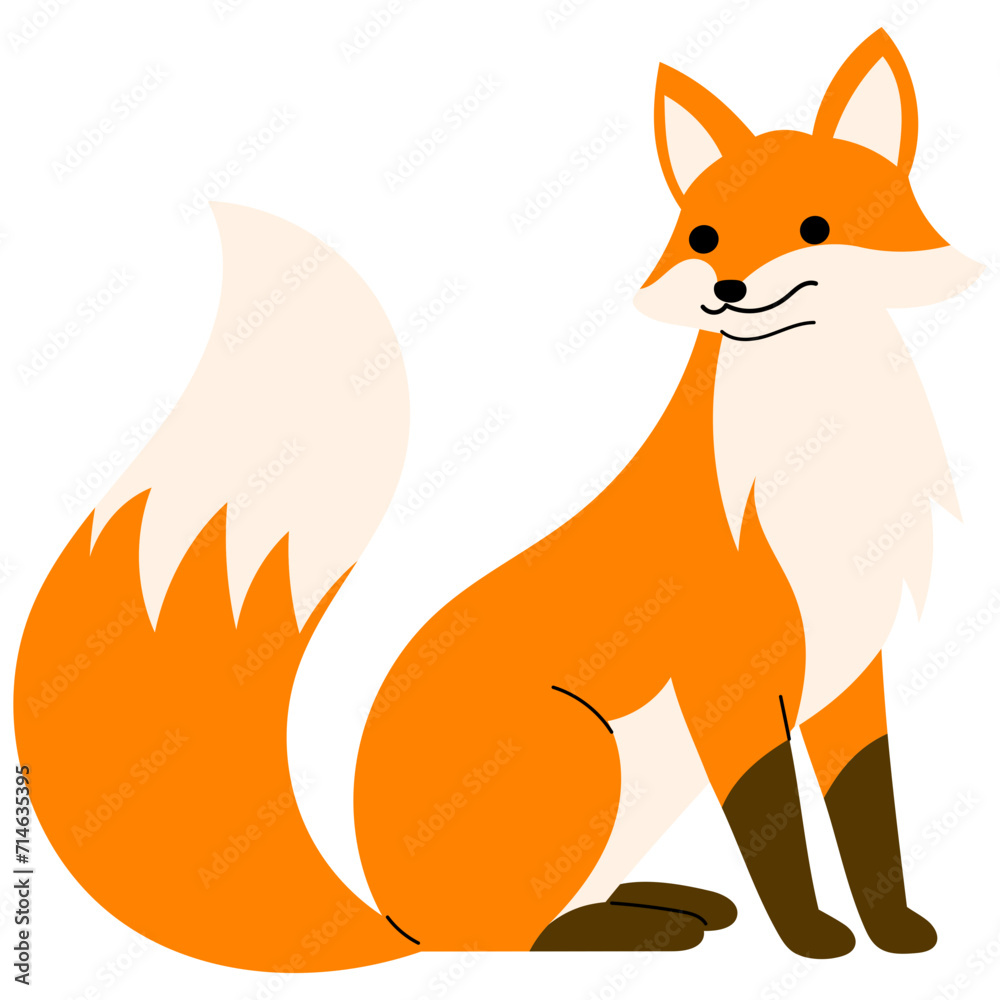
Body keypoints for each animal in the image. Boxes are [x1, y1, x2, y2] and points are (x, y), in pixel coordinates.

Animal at [13, 28, 982, 969]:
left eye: (815, 227)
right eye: (704, 236)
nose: (728, 288)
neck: (819, 458)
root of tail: (390, 918)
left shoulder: (854, 671)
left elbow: (872, 818)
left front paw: (896, 933)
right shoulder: (730, 675)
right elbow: (775, 833)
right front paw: (814, 940)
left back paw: (671, 904)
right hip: (584, 747)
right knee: (513, 936)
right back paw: (643, 929)